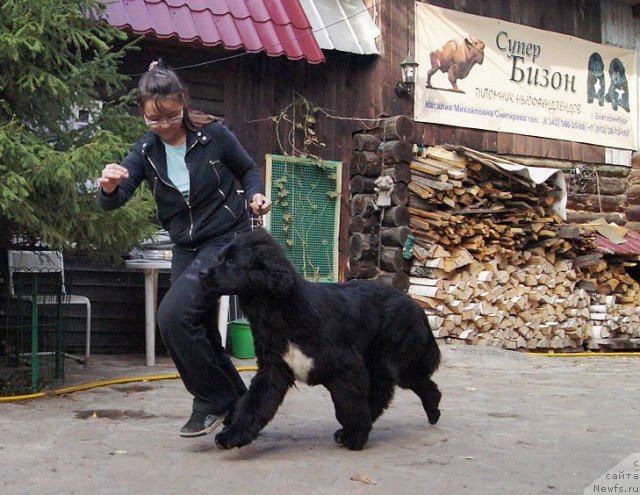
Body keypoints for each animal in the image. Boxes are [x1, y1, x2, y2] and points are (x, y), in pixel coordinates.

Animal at [200, 229, 440, 450]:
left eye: (232, 261)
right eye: (220, 257)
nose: (201, 272)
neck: (284, 311)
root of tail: (416, 305)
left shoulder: (347, 367)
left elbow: (349, 406)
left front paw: (355, 437)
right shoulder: (273, 369)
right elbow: (254, 405)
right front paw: (232, 435)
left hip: (390, 361)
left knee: (398, 388)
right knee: (404, 388)